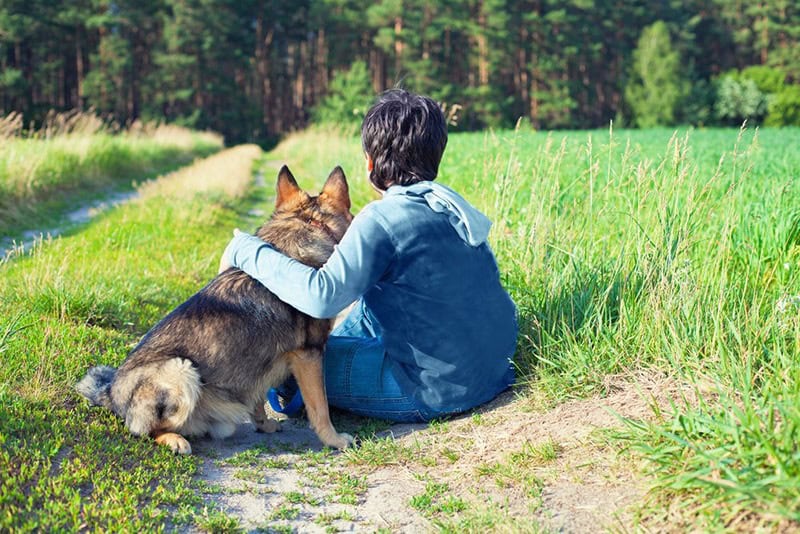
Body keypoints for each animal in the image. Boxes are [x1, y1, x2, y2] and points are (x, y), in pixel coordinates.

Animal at [77, 165, 354, 454]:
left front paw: (263, 424)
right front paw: (334, 440)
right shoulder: (309, 355)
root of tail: (110, 393)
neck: (306, 224)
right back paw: (174, 440)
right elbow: (320, 407)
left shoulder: (263, 364)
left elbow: (258, 397)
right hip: (182, 370)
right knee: (146, 430)